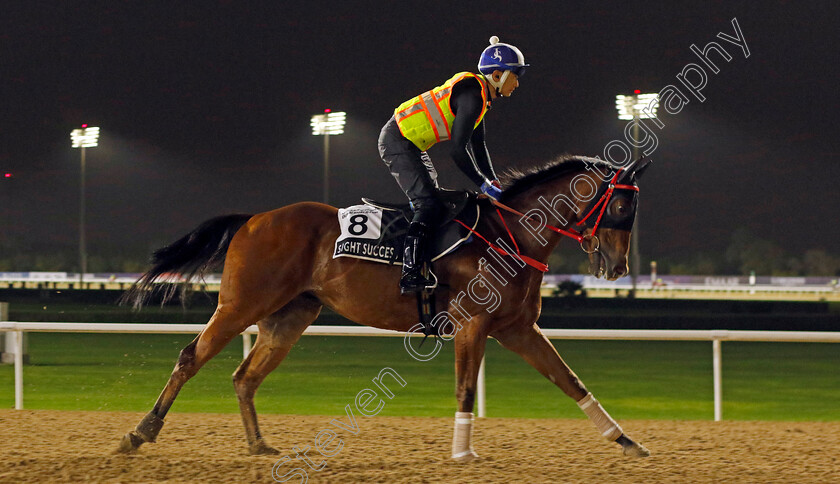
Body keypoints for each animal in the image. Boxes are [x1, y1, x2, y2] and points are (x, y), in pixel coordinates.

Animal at [115, 155, 652, 462]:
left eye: (634, 211)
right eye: (621, 208)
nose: (616, 267)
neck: (511, 233)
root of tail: (253, 219)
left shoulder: (519, 328)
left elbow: (571, 381)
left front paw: (626, 441)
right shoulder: (472, 324)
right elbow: (464, 390)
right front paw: (462, 453)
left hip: (289, 316)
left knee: (245, 377)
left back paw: (258, 444)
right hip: (240, 304)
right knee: (190, 357)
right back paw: (139, 433)